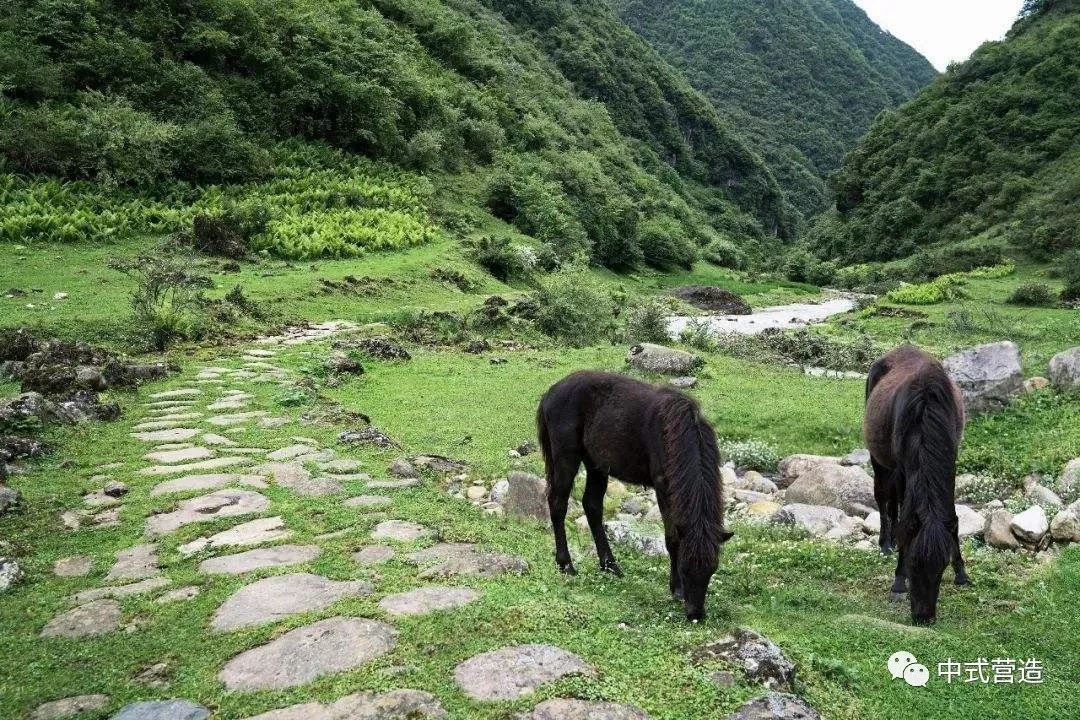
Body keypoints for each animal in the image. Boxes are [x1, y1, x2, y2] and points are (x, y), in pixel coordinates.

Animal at [535, 371, 730, 621]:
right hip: (566, 458)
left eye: (712, 569)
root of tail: (552, 391)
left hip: (596, 464)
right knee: (558, 504)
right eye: (685, 568)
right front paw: (676, 589)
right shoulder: (662, 487)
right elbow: (672, 538)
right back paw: (566, 565)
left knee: (592, 506)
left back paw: (610, 565)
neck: (678, 430)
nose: (695, 614)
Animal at [859, 345, 972, 626]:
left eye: (941, 567)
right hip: (880, 460)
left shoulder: (950, 462)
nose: (924, 616)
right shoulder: (902, 469)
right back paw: (885, 543)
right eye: (912, 565)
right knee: (883, 498)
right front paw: (898, 581)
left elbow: (952, 519)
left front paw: (962, 573)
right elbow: (904, 521)